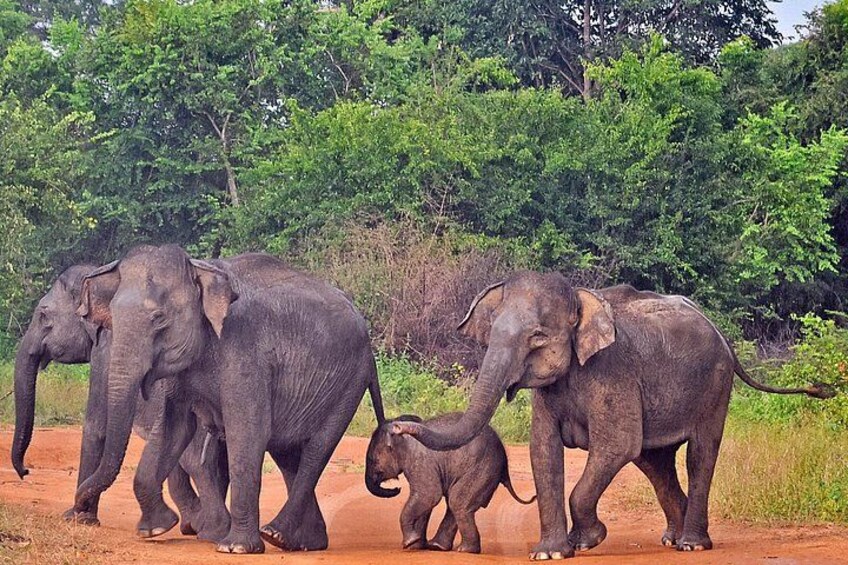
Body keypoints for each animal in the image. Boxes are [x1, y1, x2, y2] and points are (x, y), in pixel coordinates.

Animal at [9, 265, 229, 539]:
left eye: (43, 315)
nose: (25, 471)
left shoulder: (105, 352)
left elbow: (95, 428)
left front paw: (78, 518)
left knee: (196, 461)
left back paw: (206, 528)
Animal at [72, 245, 386, 554]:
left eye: (159, 318)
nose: (79, 512)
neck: (200, 269)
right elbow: (174, 431)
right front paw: (155, 529)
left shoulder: (245, 349)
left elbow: (246, 432)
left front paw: (235, 547)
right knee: (287, 453)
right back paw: (300, 542)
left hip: (349, 382)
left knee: (315, 451)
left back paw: (276, 534)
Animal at [366, 413, 535, 554]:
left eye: (373, 461)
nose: (397, 489)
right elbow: (425, 501)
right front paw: (415, 545)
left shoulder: (419, 460)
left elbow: (428, 495)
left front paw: (409, 543)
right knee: (455, 503)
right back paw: (438, 546)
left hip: (482, 469)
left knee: (457, 502)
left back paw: (464, 550)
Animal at [392, 273, 834, 560]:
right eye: (491, 332)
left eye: (538, 337)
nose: (398, 425)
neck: (580, 298)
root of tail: (719, 330)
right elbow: (543, 452)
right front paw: (551, 553)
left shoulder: (612, 371)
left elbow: (616, 445)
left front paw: (586, 541)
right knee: (654, 462)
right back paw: (671, 539)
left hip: (715, 385)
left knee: (698, 454)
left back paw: (692, 544)